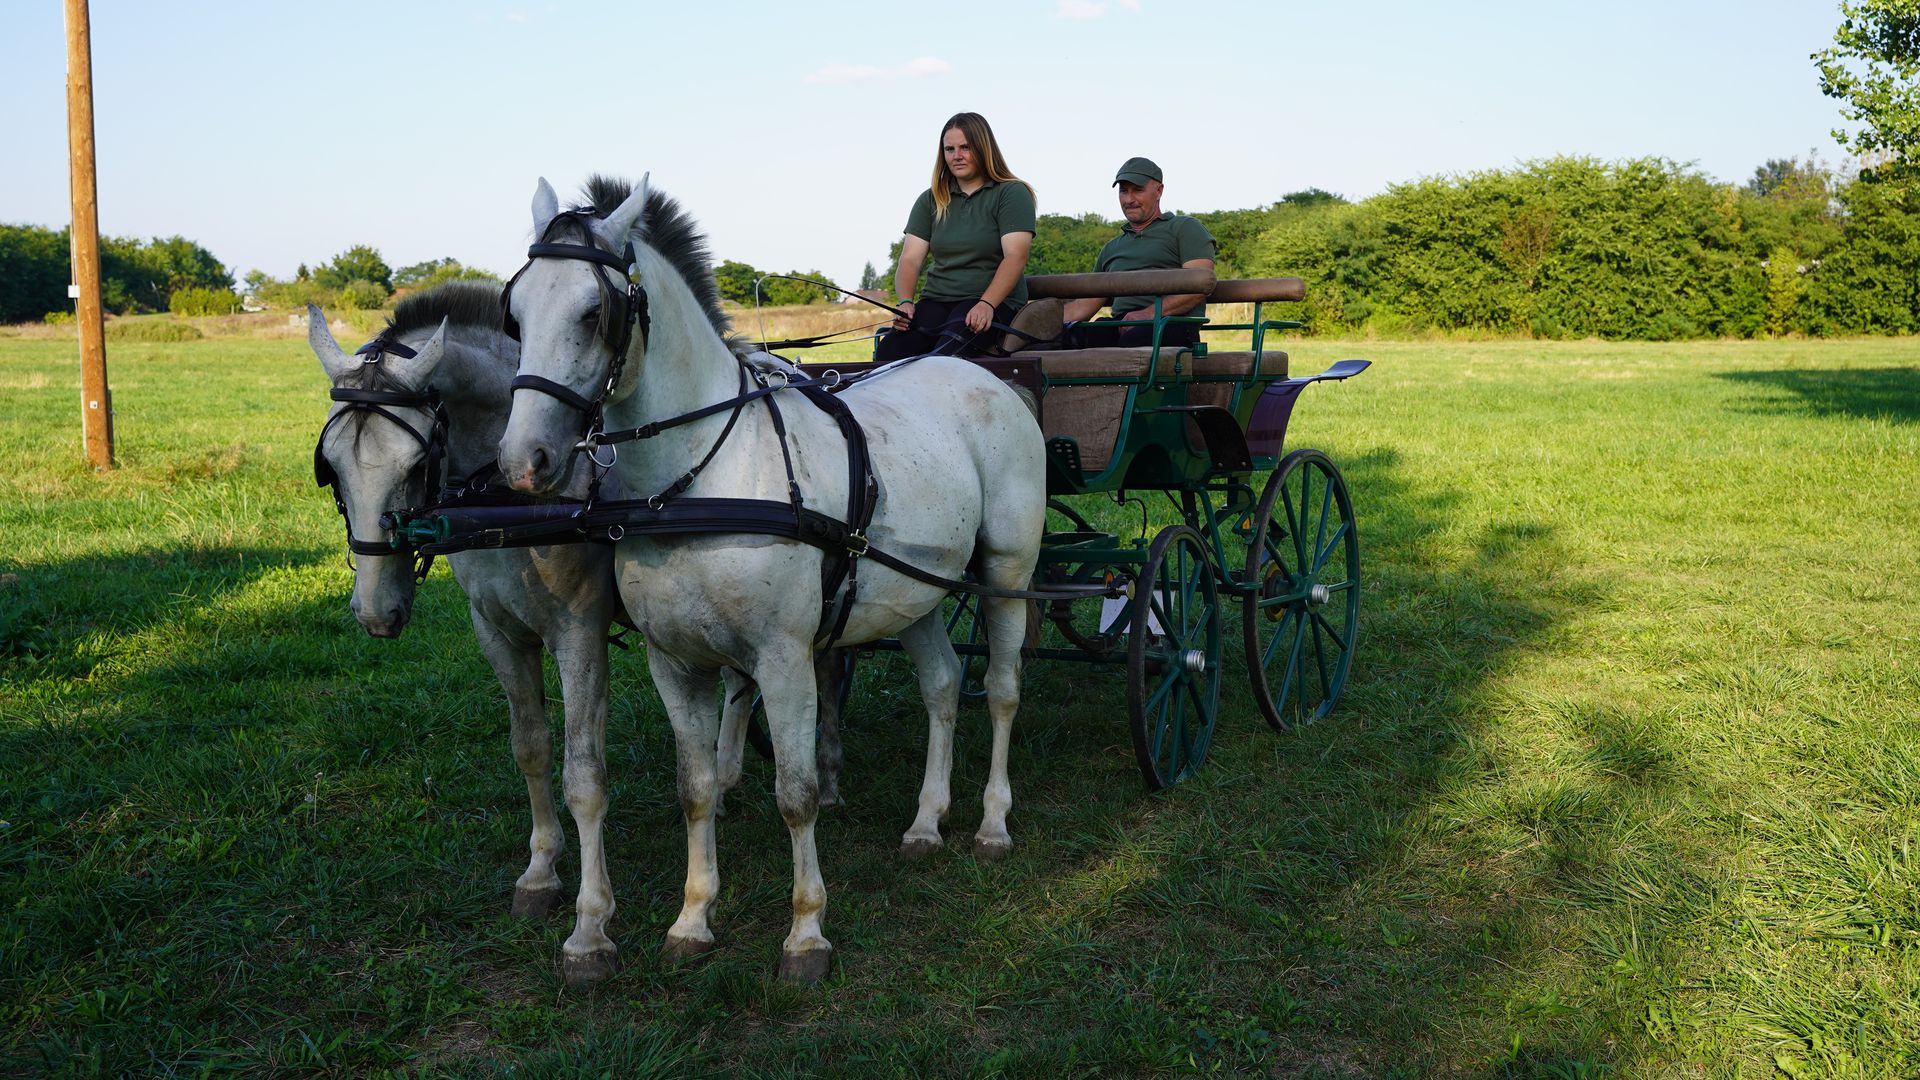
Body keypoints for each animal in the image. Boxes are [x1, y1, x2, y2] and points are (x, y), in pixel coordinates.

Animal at [309, 284, 817, 983]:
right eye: (330, 470)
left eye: (415, 464)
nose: (376, 613)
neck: (511, 504)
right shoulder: (498, 635)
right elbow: (530, 748)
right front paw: (541, 874)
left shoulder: (577, 635)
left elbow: (584, 777)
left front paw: (591, 928)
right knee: (740, 684)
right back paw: (725, 774)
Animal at [487, 174, 1044, 976]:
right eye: (517, 311)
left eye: (595, 313)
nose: (523, 461)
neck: (700, 480)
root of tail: (982, 375)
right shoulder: (674, 663)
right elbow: (694, 789)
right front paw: (692, 919)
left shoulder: (783, 660)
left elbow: (796, 792)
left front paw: (806, 932)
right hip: (914, 590)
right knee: (941, 685)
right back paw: (925, 822)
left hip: (1006, 569)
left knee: (1000, 690)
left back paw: (993, 823)